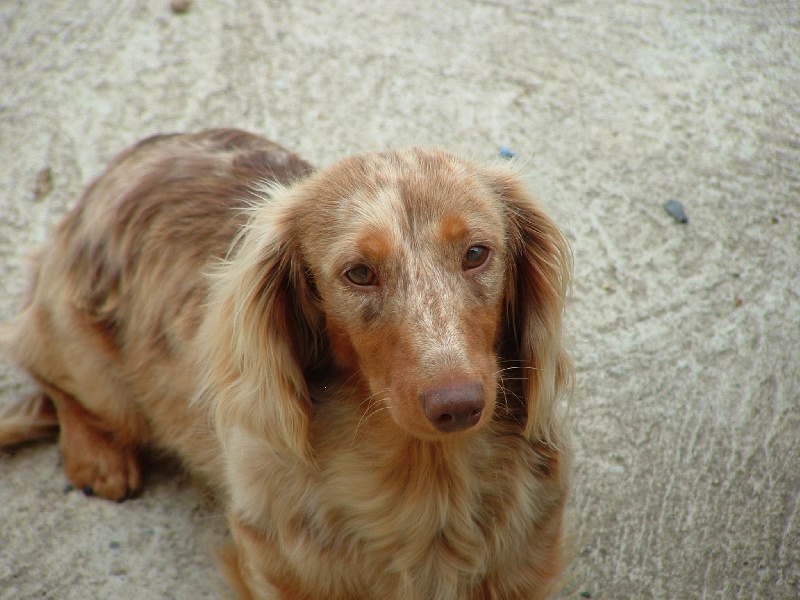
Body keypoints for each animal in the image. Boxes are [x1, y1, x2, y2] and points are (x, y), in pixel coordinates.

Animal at [1, 129, 576, 596]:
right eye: (359, 272)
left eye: (477, 253)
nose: (456, 406)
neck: (427, 480)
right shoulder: (279, 570)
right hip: (91, 365)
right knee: (46, 371)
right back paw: (98, 456)